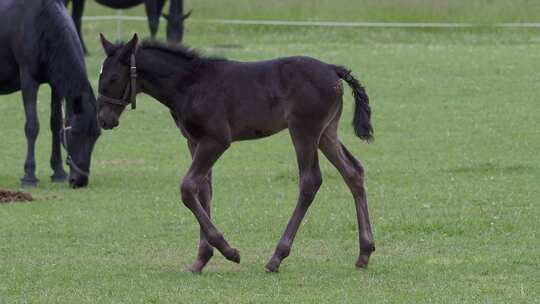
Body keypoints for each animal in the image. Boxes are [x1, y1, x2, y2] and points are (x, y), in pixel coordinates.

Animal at [0, 0, 100, 188]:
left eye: (96, 135)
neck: (41, 22)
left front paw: (58, 171)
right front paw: (29, 175)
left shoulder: (56, 85)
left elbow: (56, 124)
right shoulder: (29, 81)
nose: (80, 180)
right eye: (75, 133)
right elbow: (32, 126)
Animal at [97, 33, 376, 274]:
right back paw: (364, 252)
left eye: (112, 79)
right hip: (326, 133)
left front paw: (229, 251)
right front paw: (201, 259)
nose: (103, 120)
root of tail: (332, 69)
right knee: (353, 172)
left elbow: (188, 188)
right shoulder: (194, 141)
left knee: (310, 181)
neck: (190, 84)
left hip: (304, 130)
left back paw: (276, 257)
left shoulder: (217, 140)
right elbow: (203, 190)